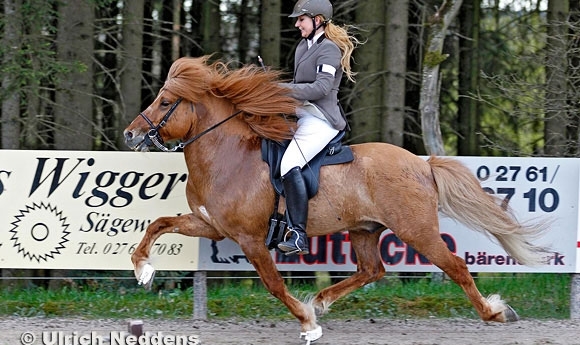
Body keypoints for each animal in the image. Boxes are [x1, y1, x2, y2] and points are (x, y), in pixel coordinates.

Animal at [124, 55, 552, 342]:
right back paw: (322, 300)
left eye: (166, 102)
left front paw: (307, 323)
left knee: (456, 267)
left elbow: (273, 284)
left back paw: (495, 313)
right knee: (372, 270)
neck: (227, 157)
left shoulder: (249, 238)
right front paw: (143, 270)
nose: (131, 135)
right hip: (365, 229)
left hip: (416, 230)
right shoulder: (210, 225)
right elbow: (158, 224)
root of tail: (422, 163)